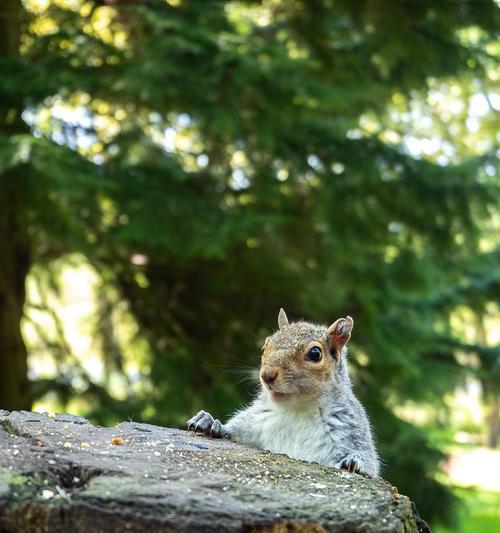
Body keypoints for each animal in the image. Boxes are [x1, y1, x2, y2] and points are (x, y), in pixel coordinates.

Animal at [187, 306, 378, 476]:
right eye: (265, 347)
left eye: (315, 353)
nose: (266, 375)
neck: (297, 409)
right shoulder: (255, 421)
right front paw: (209, 422)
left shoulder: (350, 429)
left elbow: (368, 461)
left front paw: (355, 461)